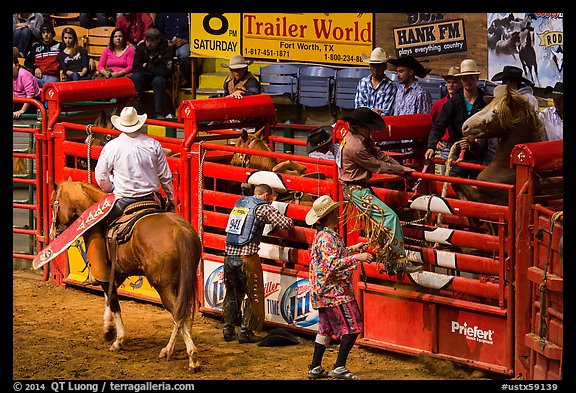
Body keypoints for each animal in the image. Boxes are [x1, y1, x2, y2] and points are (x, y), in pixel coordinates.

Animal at [49, 179, 204, 370]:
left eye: (52, 204)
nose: (53, 233)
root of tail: (180, 231)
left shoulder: (105, 274)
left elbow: (114, 302)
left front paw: (118, 339)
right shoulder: (118, 273)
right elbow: (109, 297)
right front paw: (108, 329)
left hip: (163, 285)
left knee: (177, 312)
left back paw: (191, 357)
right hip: (182, 280)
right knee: (181, 313)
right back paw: (169, 350)